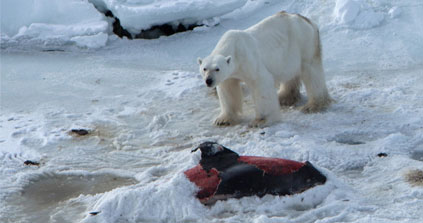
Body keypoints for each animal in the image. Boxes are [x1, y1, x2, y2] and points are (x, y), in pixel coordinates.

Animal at [198, 11, 332, 127]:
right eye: (204, 69)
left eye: (217, 69)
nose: (209, 81)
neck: (233, 47)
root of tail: (306, 20)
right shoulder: (229, 75)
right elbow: (228, 89)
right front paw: (223, 120)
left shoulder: (248, 60)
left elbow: (261, 83)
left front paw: (260, 120)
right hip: (287, 54)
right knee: (289, 73)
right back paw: (284, 97)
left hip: (304, 43)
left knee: (312, 71)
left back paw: (313, 105)